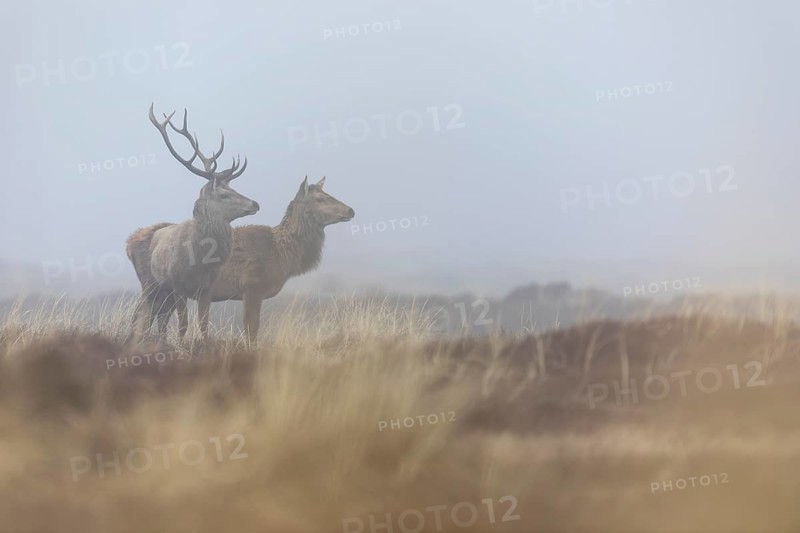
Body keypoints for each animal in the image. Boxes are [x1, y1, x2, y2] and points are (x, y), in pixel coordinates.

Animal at [127, 103, 260, 340]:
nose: (255, 204)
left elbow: (203, 325)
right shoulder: (179, 286)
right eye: (224, 195)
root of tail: (127, 243)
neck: (199, 261)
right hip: (149, 283)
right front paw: (182, 345)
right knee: (141, 315)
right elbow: (183, 325)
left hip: (164, 292)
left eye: (233, 189)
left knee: (158, 318)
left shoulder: (207, 288)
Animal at [133, 176, 354, 343]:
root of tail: (129, 241)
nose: (350, 210)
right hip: (151, 284)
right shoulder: (252, 287)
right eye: (320, 200)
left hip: (167, 292)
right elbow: (251, 331)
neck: (282, 255)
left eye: (329, 194)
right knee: (141, 316)